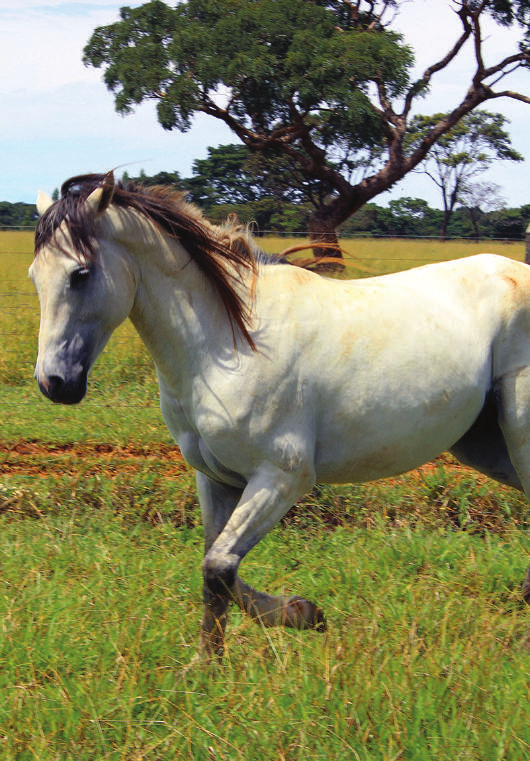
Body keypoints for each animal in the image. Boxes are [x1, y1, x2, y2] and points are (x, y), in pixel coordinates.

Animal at [31, 171, 528, 652]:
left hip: (517, 434)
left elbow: (219, 567)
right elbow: (217, 572)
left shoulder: (282, 477)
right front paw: (212, 663)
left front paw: (303, 614)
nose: (54, 383)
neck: (228, 344)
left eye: (80, 273)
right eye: (37, 275)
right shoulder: (216, 479)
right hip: (484, 445)